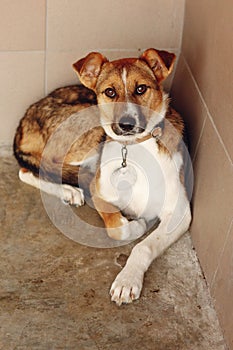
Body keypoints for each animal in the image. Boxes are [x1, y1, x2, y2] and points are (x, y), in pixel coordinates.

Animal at [13, 49, 191, 306]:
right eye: (110, 92)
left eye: (141, 88)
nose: (126, 124)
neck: (133, 149)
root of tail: (27, 115)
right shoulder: (99, 192)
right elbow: (117, 229)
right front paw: (136, 225)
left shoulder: (180, 213)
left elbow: (144, 247)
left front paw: (128, 279)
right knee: (30, 169)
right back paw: (69, 190)